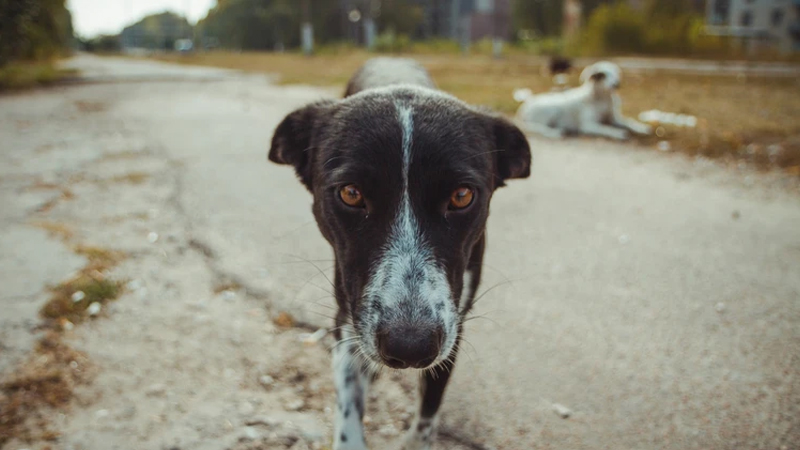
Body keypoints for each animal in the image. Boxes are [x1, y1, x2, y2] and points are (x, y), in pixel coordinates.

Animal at [268, 58, 532, 448]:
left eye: (462, 196)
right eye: (350, 193)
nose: (410, 347)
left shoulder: (454, 325)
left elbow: (428, 410)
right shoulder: (348, 313)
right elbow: (349, 405)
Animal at [516, 60, 652, 140]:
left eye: (615, 73)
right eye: (602, 75)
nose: (616, 84)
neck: (603, 99)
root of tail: (523, 108)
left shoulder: (614, 118)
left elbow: (629, 121)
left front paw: (642, 128)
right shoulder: (588, 125)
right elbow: (605, 128)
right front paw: (618, 133)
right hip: (550, 110)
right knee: (535, 126)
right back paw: (554, 132)